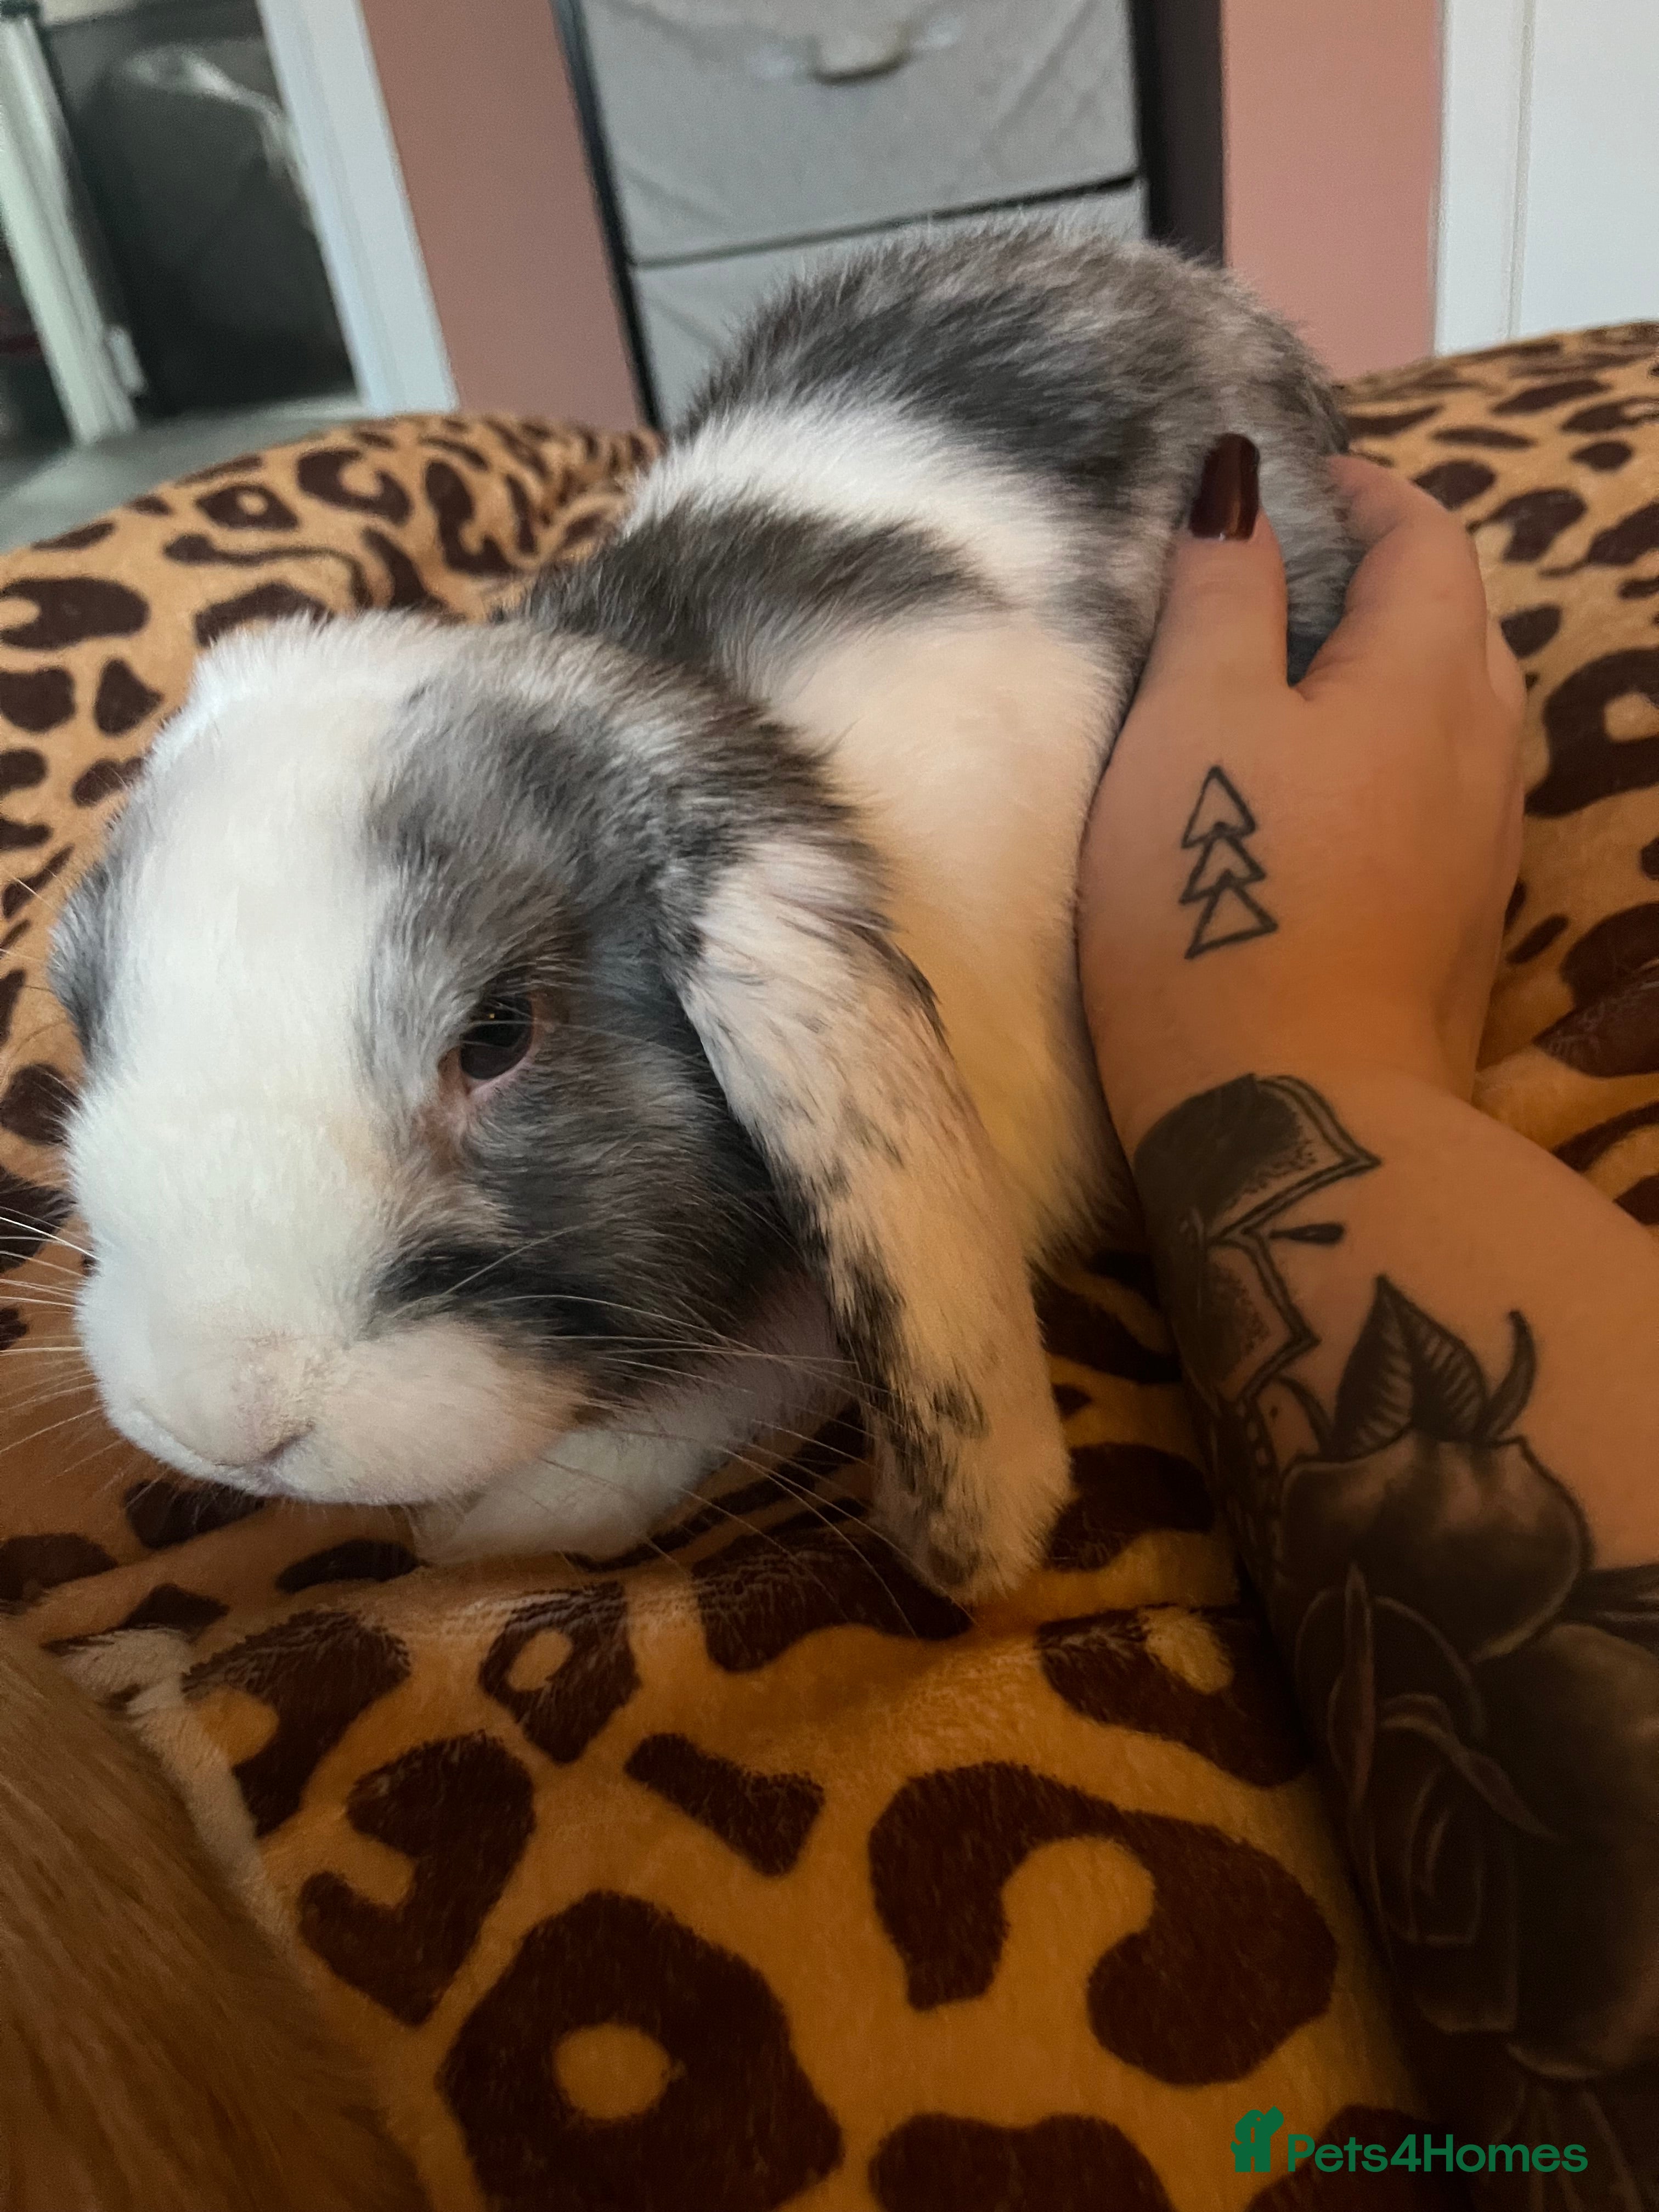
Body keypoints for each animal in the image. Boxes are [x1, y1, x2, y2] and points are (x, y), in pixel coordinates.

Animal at [47, 222, 1354, 1600]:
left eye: (499, 1035)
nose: (225, 1416)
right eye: (84, 1018)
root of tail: (1169, 277)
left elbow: (737, 1380)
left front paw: (492, 1524)